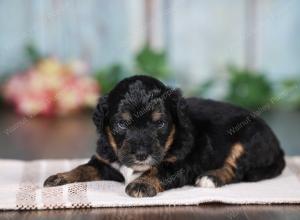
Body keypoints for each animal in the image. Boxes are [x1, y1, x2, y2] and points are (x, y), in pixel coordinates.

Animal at [44, 75, 286, 198]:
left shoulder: (180, 164)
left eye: (159, 123)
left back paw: (211, 178)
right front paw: (60, 177)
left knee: (236, 170)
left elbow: (159, 169)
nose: (142, 154)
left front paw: (142, 184)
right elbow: (84, 167)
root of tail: (278, 147)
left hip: (248, 139)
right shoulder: (105, 159)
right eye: (121, 124)